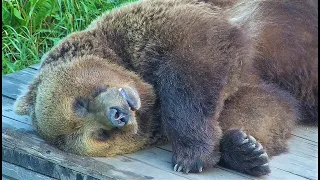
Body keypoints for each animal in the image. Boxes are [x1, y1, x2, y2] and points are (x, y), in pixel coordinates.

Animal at [14, 0, 318, 177]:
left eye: (80, 102)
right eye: (100, 135)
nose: (118, 115)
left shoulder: (165, 24)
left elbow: (195, 59)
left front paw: (191, 157)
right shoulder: (260, 82)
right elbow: (265, 107)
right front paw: (246, 149)